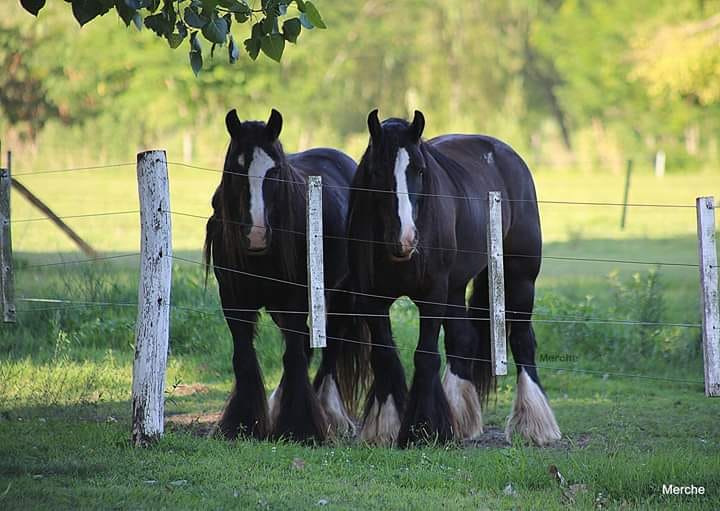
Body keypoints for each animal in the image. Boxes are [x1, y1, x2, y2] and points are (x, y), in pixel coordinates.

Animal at [204, 109, 368, 442]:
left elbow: (293, 354)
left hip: (342, 295)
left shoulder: (295, 299)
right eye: (236, 169)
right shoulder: (233, 300)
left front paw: (300, 427)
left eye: (275, 170)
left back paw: (333, 415)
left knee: (330, 346)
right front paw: (241, 424)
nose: (256, 235)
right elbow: (244, 356)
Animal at [346, 109, 561, 447]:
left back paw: (535, 425)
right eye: (377, 171)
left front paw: (423, 429)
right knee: (463, 339)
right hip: (456, 288)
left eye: (419, 169)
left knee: (523, 341)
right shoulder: (372, 300)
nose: (405, 238)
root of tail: (507, 154)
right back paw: (461, 419)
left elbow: (425, 355)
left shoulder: (432, 294)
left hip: (520, 277)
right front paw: (386, 427)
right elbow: (384, 356)